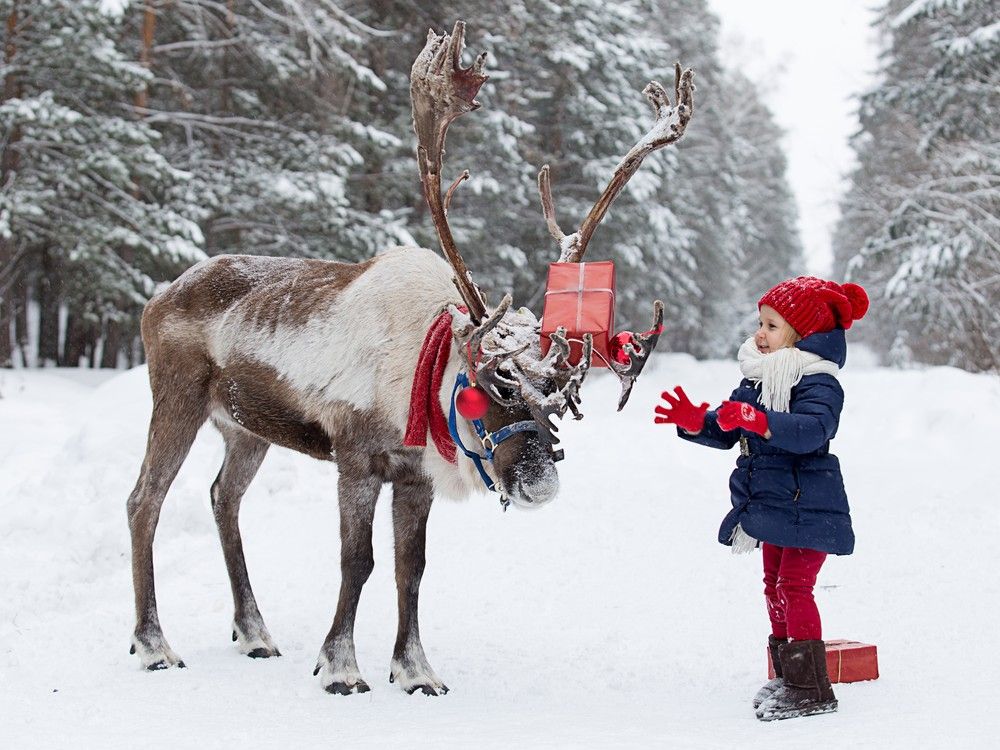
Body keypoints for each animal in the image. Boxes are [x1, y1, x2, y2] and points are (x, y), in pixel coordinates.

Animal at [126, 21, 694, 695]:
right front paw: (341, 667)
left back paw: (255, 632)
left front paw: (416, 670)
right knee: (145, 501)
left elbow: (411, 568)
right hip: (177, 397)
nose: (541, 485)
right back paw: (154, 644)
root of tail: (158, 295)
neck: (425, 367)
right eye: (492, 387)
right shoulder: (356, 459)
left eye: (561, 403)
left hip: (245, 427)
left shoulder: (416, 474)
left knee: (222, 497)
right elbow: (358, 561)